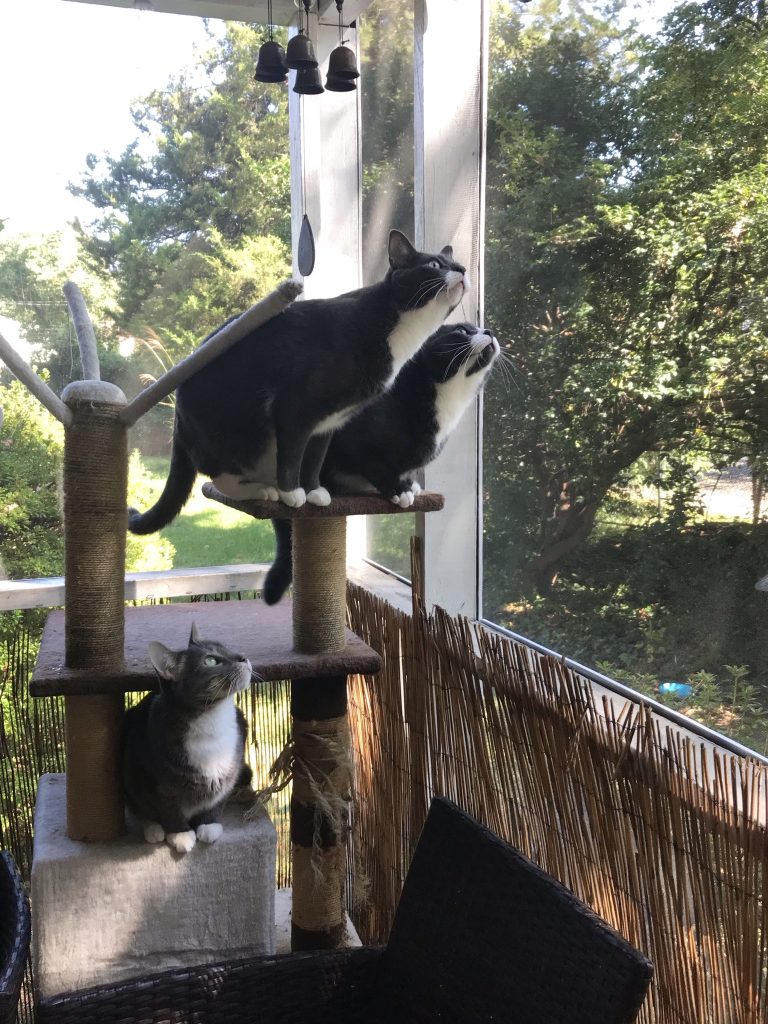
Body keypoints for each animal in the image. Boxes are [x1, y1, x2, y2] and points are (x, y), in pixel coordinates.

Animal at [120, 622, 252, 856]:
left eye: (226, 648)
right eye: (211, 660)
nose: (243, 657)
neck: (212, 719)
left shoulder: (229, 773)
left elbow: (217, 800)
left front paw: (208, 825)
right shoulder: (156, 781)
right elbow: (169, 808)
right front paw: (180, 834)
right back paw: (154, 830)